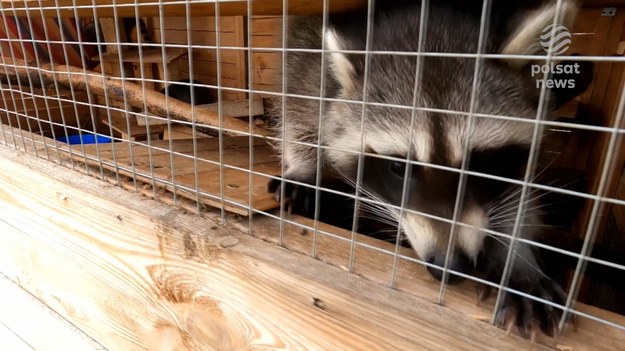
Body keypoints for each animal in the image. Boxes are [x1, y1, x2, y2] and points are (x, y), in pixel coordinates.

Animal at [268, 0, 584, 338]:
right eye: (398, 167)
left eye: (479, 165)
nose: (450, 265)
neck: (425, 21)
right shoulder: (310, 47)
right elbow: (301, 99)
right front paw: (304, 167)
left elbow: (518, 194)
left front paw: (516, 257)